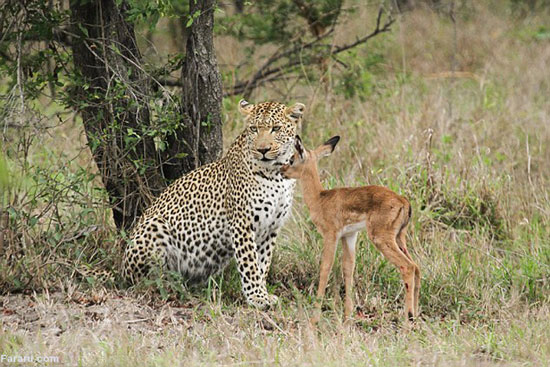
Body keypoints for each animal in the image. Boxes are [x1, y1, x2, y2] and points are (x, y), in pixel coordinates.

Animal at [122, 99, 306, 310]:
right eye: (253, 129)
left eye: (276, 128)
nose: (263, 150)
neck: (276, 174)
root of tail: (121, 269)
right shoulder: (243, 223)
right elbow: (250, 264)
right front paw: (257, 297)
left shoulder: (271, 227)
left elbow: (263, 263)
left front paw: (263, 293)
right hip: (155, 226)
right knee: (147, 280)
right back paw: (172, 286)